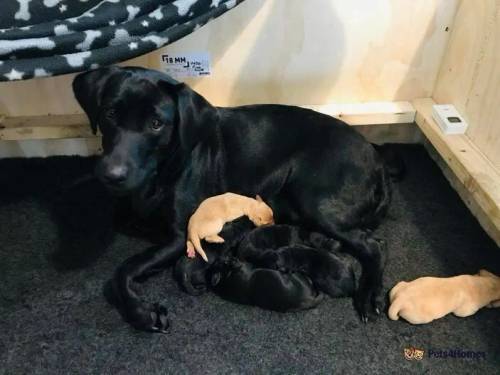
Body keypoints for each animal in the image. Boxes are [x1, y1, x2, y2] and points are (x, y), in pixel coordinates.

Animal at [72, 66, 392, 334]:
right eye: (110, 114)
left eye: (156, 123)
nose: (111, 174)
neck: (160, 172)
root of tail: (377, 159)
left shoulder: (179, 234)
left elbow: (124, 268)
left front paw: (140, 312)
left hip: (316, 201)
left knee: (373, 246)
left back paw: (368, 296)